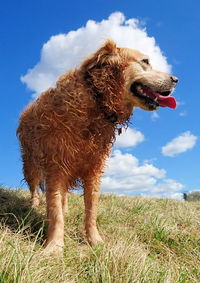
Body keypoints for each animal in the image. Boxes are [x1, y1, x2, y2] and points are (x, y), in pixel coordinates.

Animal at [16, 40, 177, 255]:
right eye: (145, 61)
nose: (176, 79)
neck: (97, 101)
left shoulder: (93, 168)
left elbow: (91, 210)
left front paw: (95, 241)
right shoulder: (56, 165)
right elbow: (55, 212)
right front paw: (55, 246)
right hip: (31, 162)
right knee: (34, 187)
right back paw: (34, 203)